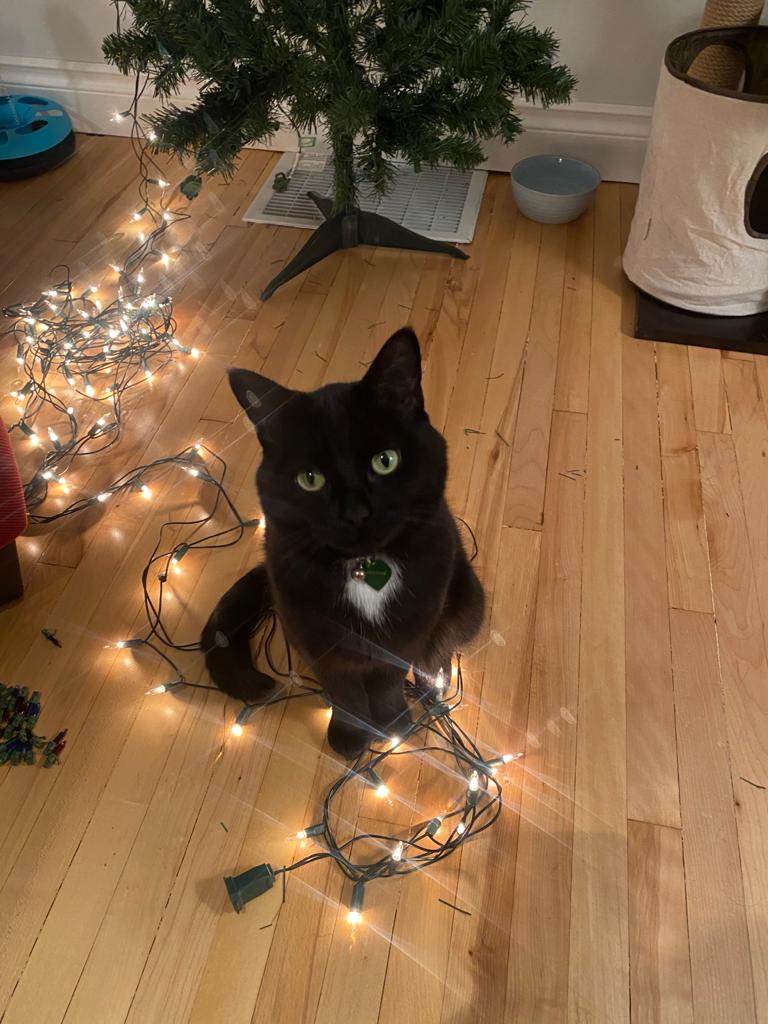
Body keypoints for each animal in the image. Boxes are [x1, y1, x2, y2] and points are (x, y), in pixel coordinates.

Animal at [201, 327, 483, 761]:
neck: (366, 568)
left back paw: (432, 681)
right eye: (310, 479)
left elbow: (387, 680)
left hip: (467, 599)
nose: (355, 512)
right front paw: (351, 736)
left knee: (441, 644)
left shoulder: (404, 635)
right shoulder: (318, 641)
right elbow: (345, 692)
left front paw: (393, 724)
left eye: (386, 460)